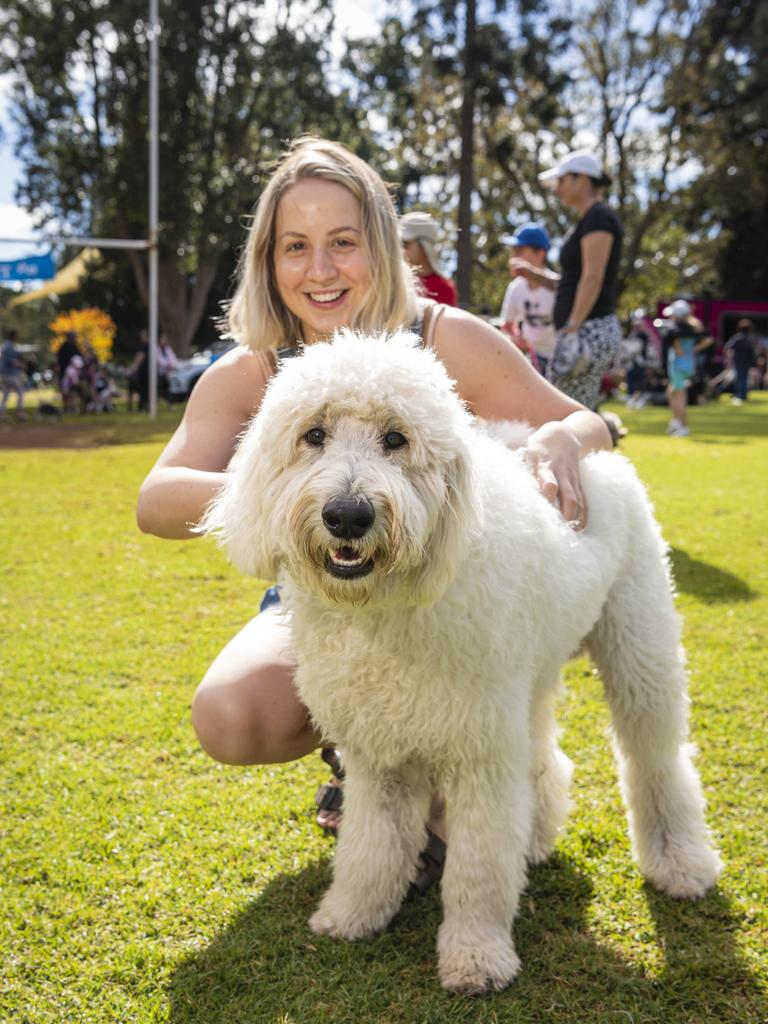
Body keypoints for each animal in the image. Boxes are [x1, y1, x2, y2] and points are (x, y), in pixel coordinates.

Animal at [202, 327, 720, 991]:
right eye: (313, 435)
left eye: (396, 439)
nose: (347, 515)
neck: (389, 604)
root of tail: (594, 449)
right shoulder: (380, 753)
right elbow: (370, 846)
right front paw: (352, 914)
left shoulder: (480, 756)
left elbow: (477, 869)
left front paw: (477, 957)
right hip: (530, 678)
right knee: (545, 755)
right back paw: (538, 835)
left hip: (638, 651)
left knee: (656, 761)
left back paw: (681, 864)